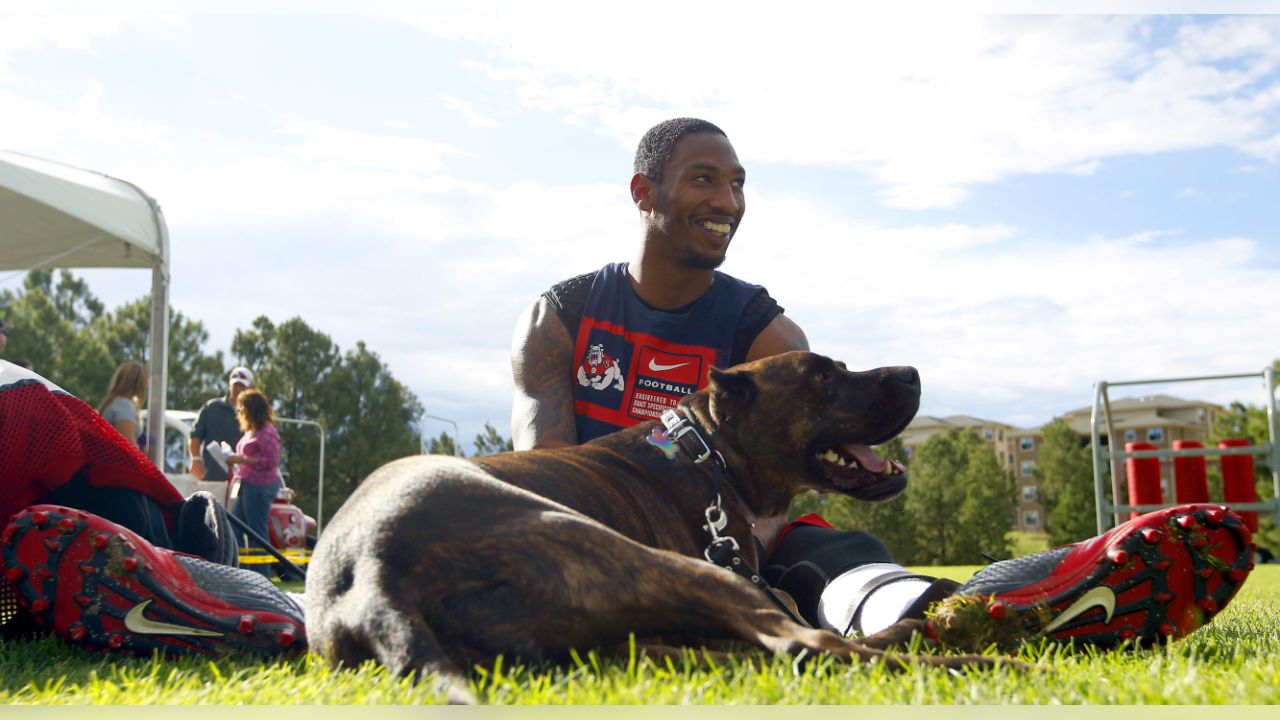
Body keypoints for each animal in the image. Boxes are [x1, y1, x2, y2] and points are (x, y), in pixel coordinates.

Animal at [302, 351, 1008, 702]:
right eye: (820, 377)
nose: (912, 373)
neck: (709, 449)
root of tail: (373, 574)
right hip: (651, 563)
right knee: (811, 647)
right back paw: (978, 651)